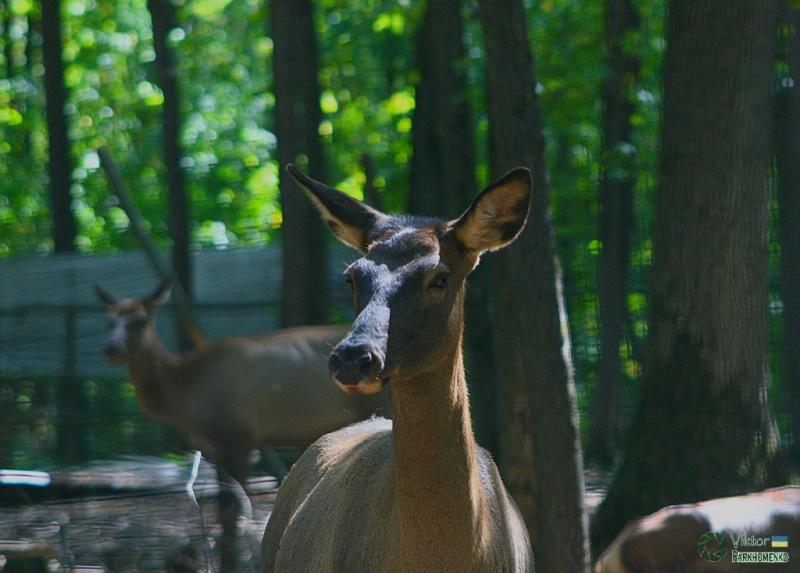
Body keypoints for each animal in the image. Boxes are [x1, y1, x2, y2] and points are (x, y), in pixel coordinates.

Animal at [94, 280, 388, 568]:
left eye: (140, 320)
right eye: (108, 321)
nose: (111, 349)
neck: (186, 395)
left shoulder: (239, 435)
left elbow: (233, 511)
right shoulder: (215, 445)